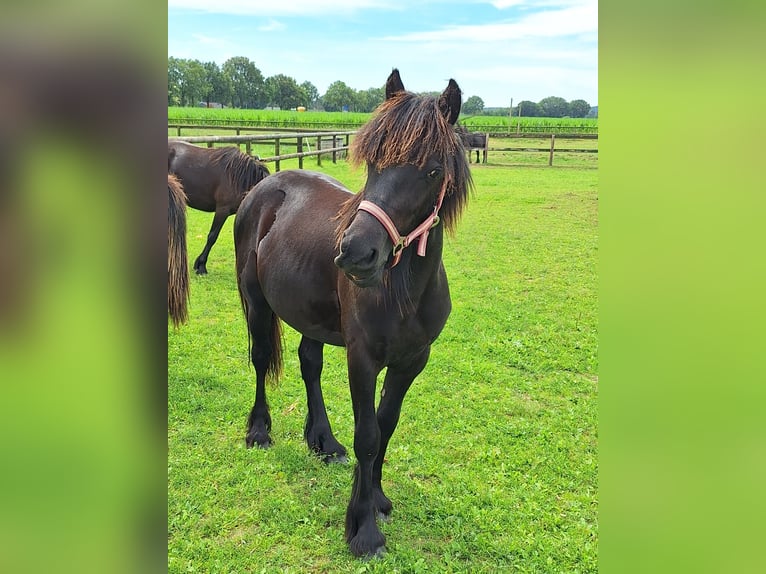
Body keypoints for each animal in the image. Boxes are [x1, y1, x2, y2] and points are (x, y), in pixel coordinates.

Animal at [234, 67, 474, 560]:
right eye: (373, 162)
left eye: (433, 170)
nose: (357, 253)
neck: (403, 292)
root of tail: (262, 188)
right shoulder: (362, 359)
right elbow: (367, 435)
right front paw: (363, 528)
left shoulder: (411, 362)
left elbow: (386, 426)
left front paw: (377, 498)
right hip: (257, 303)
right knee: (262, 359)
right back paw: (260, 432)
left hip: (310, 315)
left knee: (309, 364)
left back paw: (323, 441)